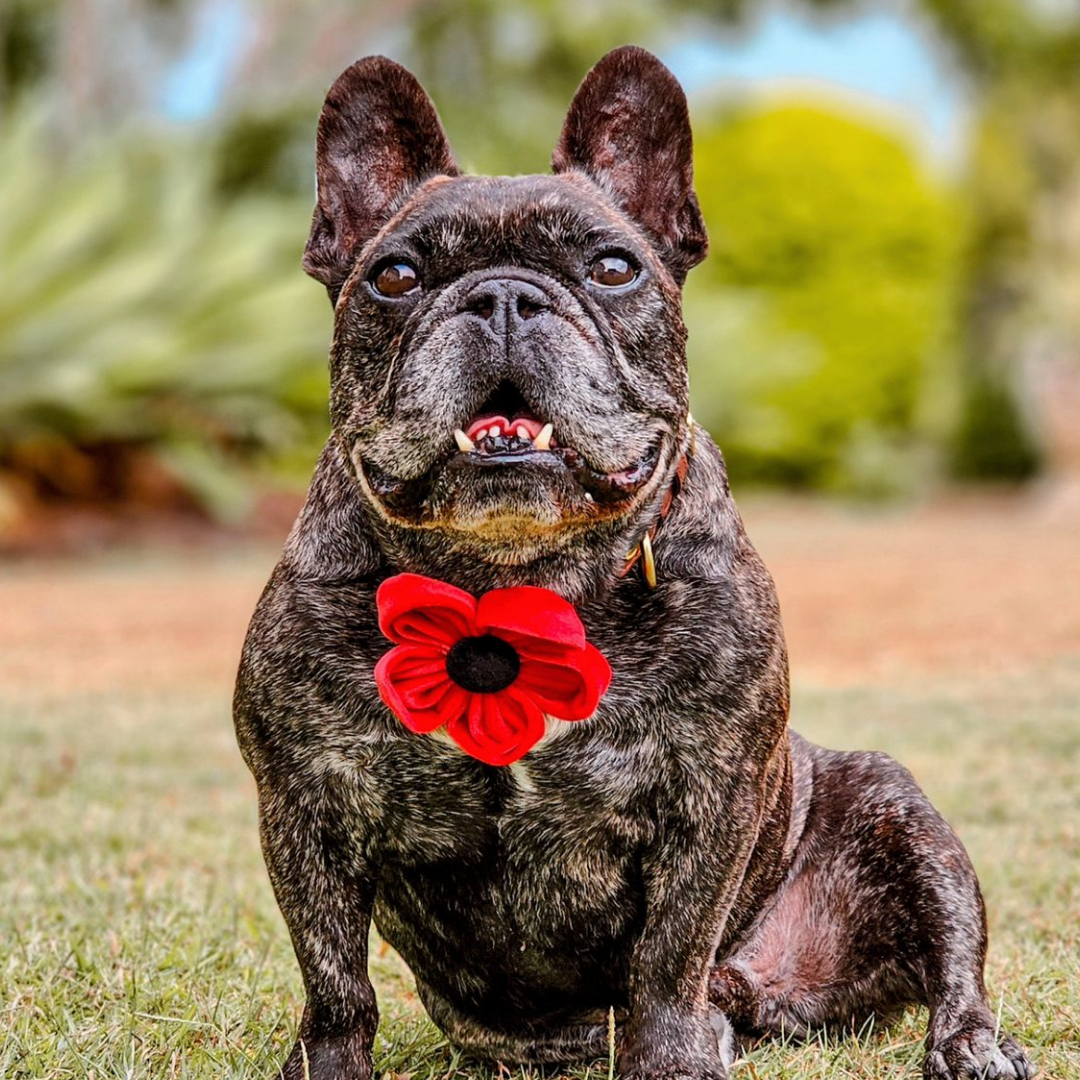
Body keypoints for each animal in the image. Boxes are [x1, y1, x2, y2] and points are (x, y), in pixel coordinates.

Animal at [232, 44, 1032, 1080]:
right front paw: (328, 1065)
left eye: (613, 268)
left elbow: (669, 954)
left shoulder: (710, 801)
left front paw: (670, 1059)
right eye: (395, 277)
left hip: (901, 814)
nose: (504, 295)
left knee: (945, 957)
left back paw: (968, 1044)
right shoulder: (304, 806)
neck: (515, 576)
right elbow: (334, 978)